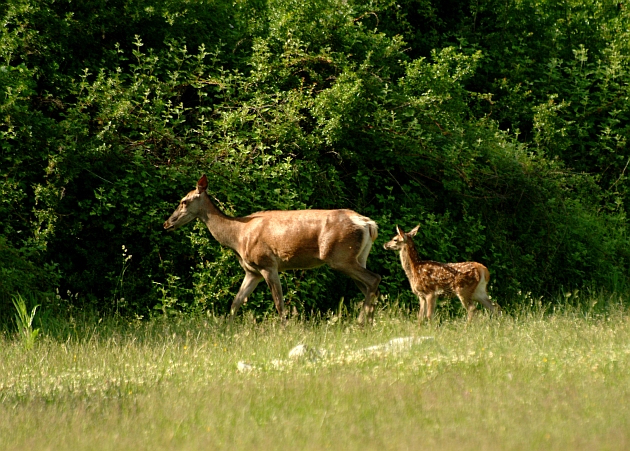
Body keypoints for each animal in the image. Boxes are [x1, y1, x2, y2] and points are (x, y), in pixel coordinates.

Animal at [163, 175, 382, 324]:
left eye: (184, 201)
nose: (167, 223)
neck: (238, 237)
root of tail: (368, 224)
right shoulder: (252, 272)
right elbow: (236, 302)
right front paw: (227, 329)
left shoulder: (267, 264)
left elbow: (279, 303)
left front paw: (284, 328)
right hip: (357, 256)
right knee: (370, 286)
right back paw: (369, 322)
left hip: (341, 256)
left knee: (374, 279)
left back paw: (361, 322)